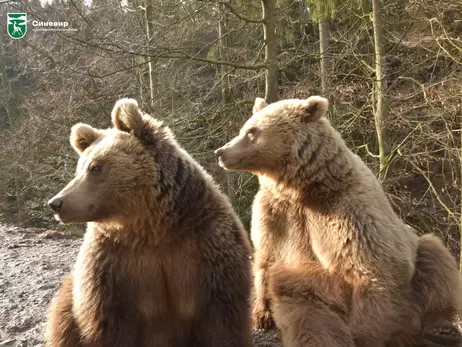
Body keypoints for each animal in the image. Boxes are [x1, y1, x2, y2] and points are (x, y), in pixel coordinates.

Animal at [46, 98, 253, 347]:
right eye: (79, 169)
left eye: (95, 167)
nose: (56, 203)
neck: (152, 226)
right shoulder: (112, 265)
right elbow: (108, 322)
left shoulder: (205, 247)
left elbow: (222, 319)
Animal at [214, 96, 462, 347]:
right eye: (245, 128)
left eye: (252, 132)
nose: (221, 152)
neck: (303, 187)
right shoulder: (274, 213)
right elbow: (266, 254)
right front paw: (262, 314)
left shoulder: (347, 210)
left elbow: (375, 268)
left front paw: (365, 334)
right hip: (311, 299)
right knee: (312, 325)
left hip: (413, 260)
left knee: (434, 258)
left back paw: (441, 329)